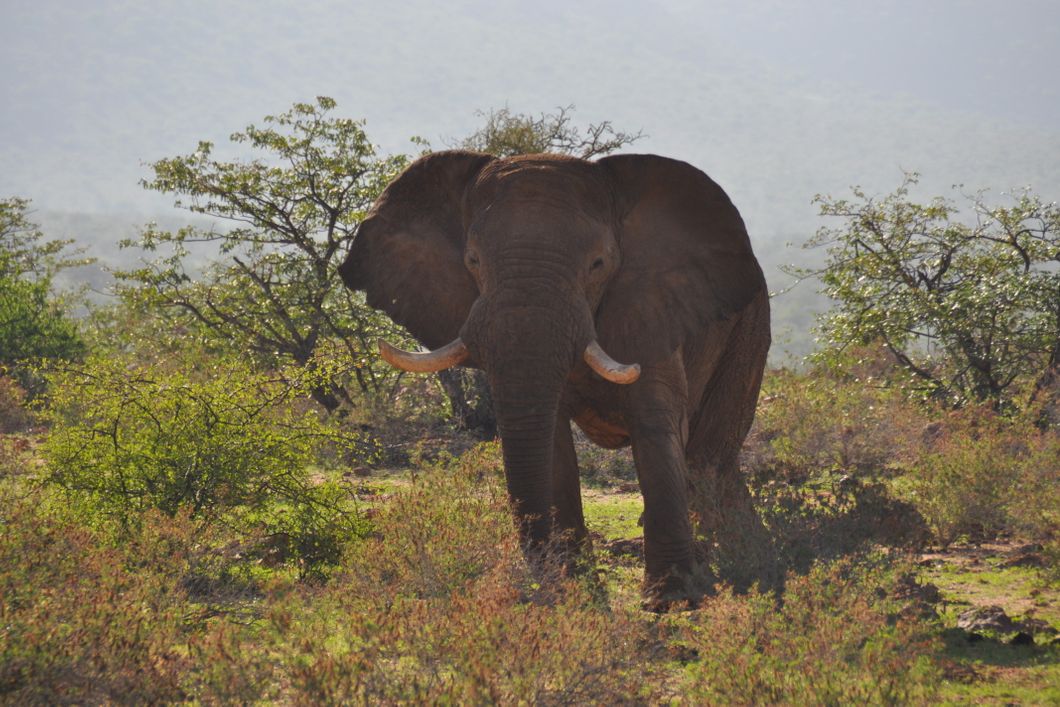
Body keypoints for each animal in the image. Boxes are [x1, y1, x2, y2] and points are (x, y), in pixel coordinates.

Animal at [339, 150, 771, 605]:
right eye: (473, 261)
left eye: (598, 264)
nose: (541, 585)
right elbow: (553, 446)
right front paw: (576, 592)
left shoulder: (651, 307)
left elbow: (656, 429)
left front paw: (669, 602)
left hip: (750, 327)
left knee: (708, 460)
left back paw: (745, 562)